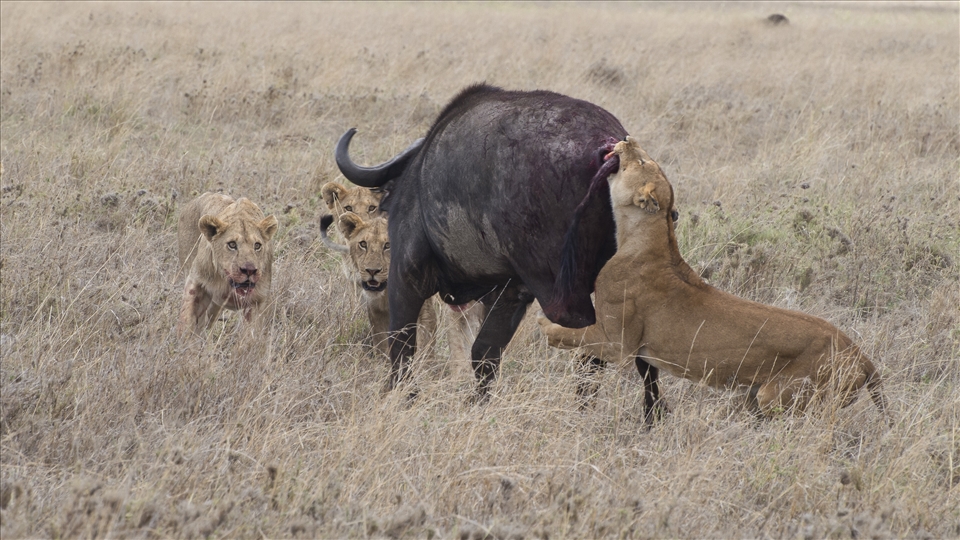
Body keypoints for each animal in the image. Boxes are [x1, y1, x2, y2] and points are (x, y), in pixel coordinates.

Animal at [178, 192, 278, 335]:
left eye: (257, 246)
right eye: (232, 244)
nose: (249, 270)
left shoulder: (257, 302)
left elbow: (251, 336)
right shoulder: (195, 282)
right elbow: (186, 318)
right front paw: (182, 339)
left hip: (216, 304)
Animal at [538, 137, 885, 419]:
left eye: (643, 162)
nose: (627, 137)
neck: (648, 236)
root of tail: (860, 354)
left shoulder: (618, 343)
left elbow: (570, 335)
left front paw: (544, 327)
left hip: (779, 395)